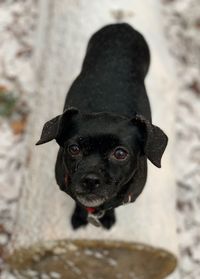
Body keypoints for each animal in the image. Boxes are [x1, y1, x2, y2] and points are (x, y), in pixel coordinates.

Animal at [36, 23, 167, 230]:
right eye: (73, 149)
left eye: (120, 153)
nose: (90, 180)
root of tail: (123, 25)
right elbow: (79, 202)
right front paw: (79, 216)